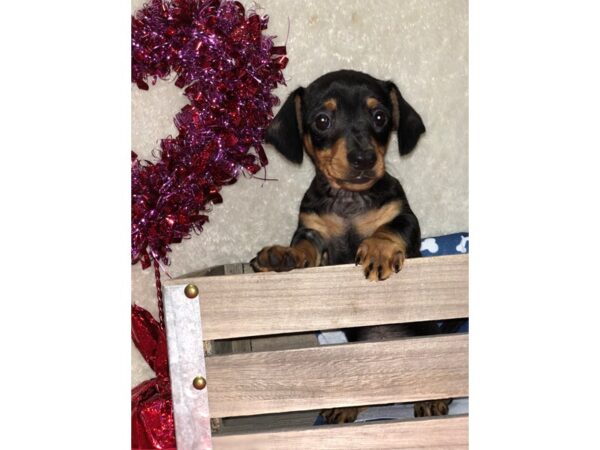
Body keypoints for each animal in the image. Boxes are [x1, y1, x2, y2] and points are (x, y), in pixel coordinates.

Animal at [248, 69, 450, 422]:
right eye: (322, 120)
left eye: (380, 117)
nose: (364, 158)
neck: (350, 200)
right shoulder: (314, 233)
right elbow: (304, 248)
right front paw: (281, 255)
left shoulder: (405, 219)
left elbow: (388, 228)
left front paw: (378, 249)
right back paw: (349, 404)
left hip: (432, 337)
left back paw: (432, 399)